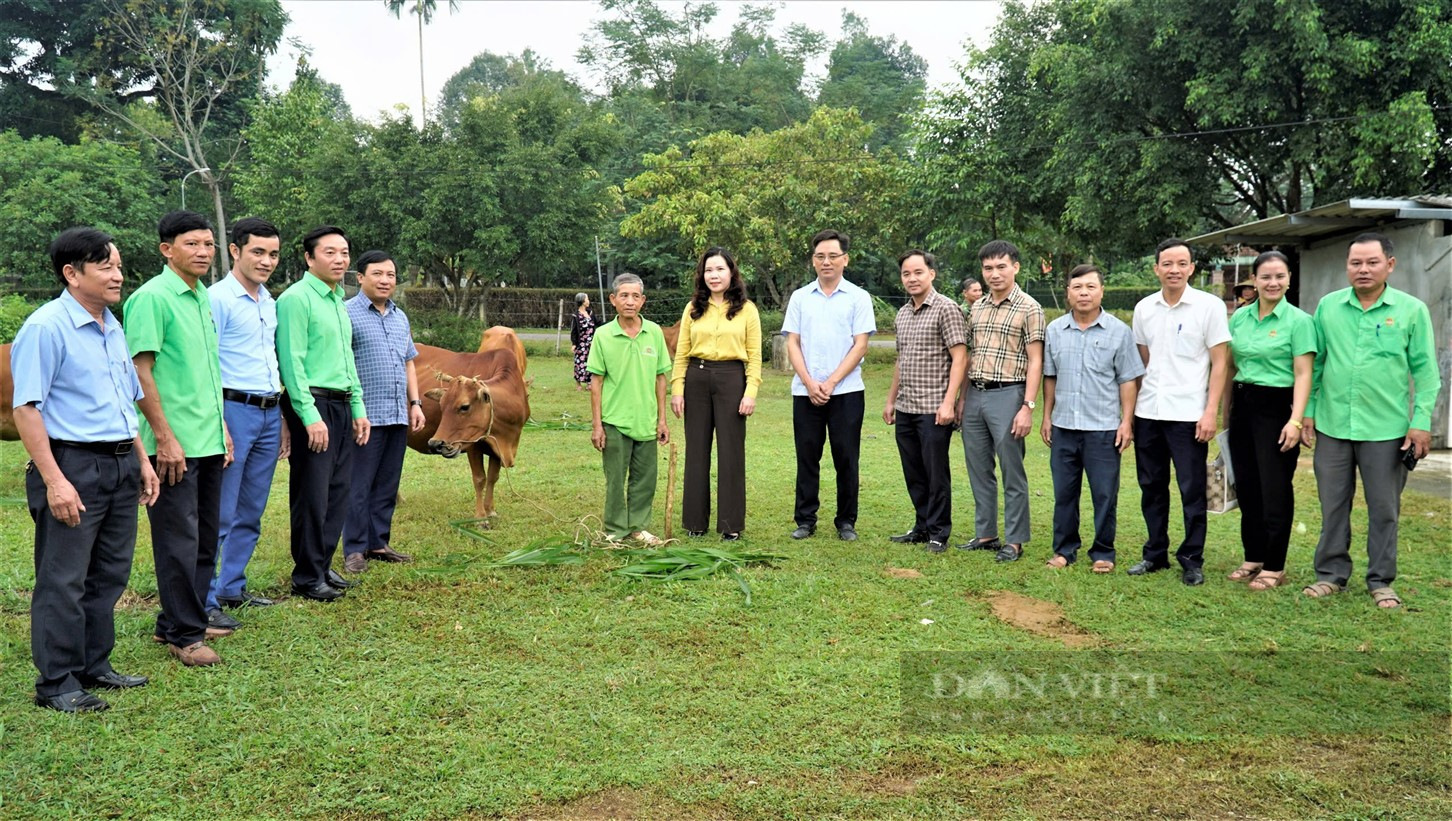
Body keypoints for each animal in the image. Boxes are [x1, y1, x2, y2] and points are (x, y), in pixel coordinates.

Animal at [409, 334, 528, 517]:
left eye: (464, 407)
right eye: (441, 406)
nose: (436, 443)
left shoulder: (497, 447)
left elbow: (493, 477)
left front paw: (490, 510)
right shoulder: (472, 445)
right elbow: (480, 478)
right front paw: (480, 516)